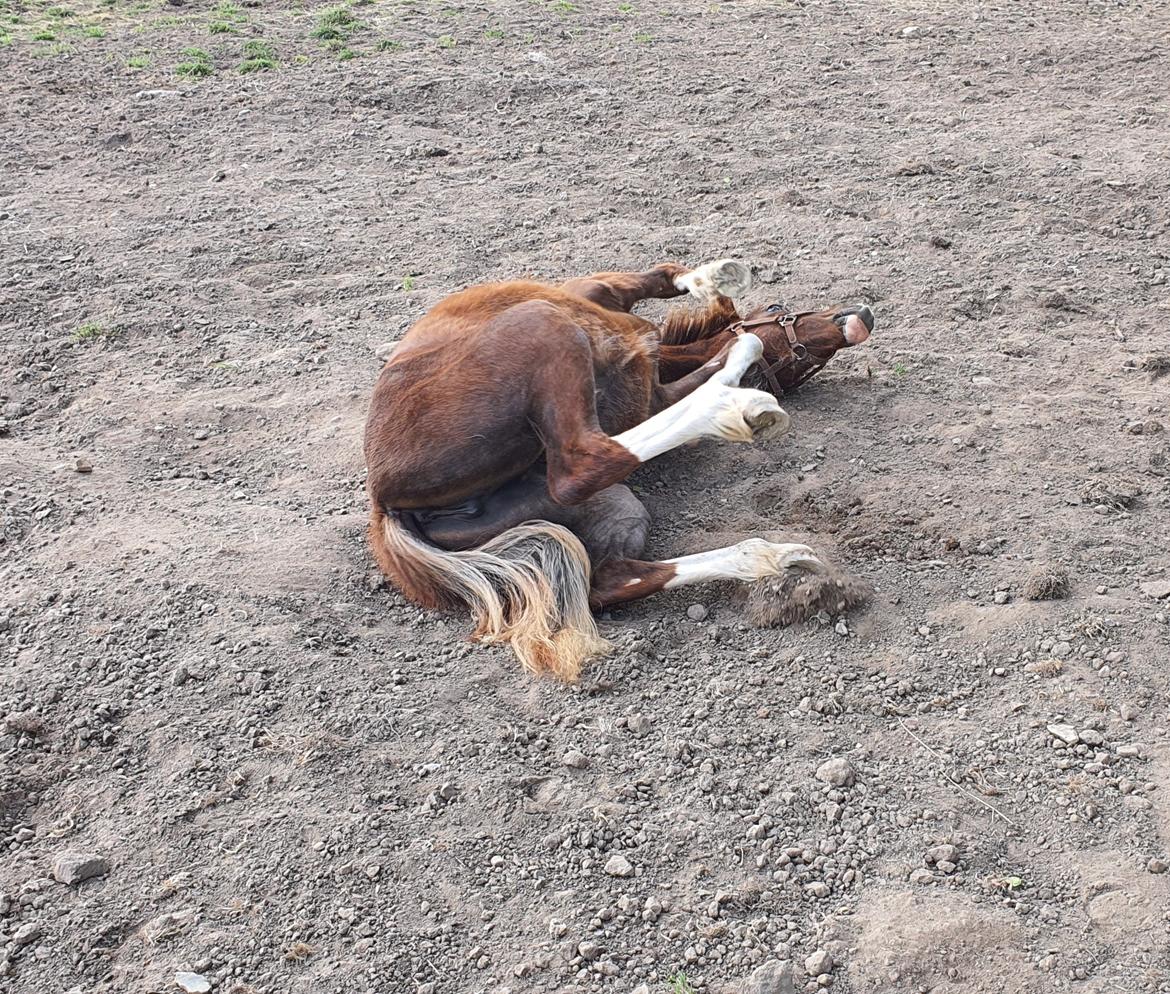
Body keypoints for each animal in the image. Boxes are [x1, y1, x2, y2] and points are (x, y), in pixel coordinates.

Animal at [363, 260, 874, 681]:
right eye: (778, 309)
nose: (861, 319)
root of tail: (385, 502)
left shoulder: (653, 394)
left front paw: (718, 284)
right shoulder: (593, 294)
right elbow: (687, 301)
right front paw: (721, 285)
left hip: (614, 506)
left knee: (612, 575)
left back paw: (770, 556)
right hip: (542, 324)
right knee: (581, 464)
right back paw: (727, 413)